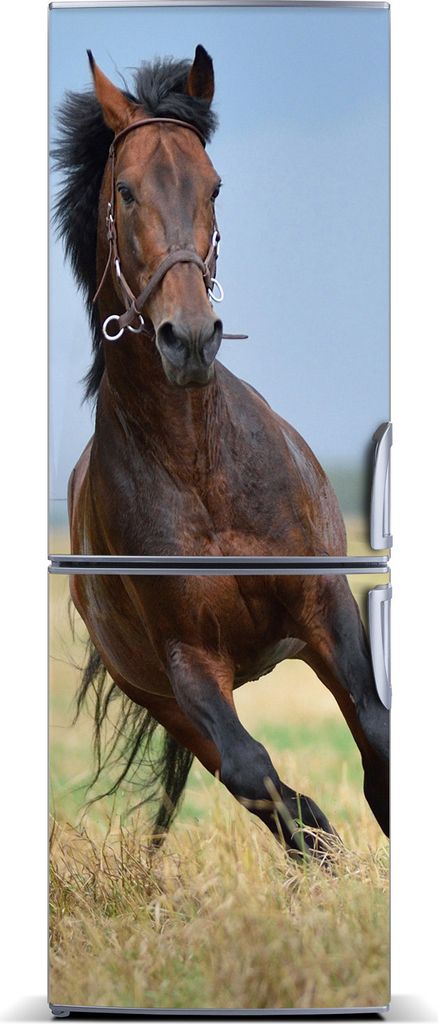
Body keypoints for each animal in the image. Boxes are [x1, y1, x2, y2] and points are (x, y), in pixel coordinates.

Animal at [53, 45, 389, 857]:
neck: (202, 470)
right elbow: (260, 776)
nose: (191, 338)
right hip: (163, 699)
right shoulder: (189, 663)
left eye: (213, 186)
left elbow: (379, 740)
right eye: (126, 191)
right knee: (255, 786)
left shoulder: (326, 608)